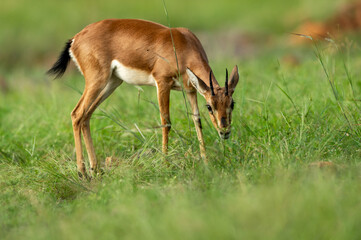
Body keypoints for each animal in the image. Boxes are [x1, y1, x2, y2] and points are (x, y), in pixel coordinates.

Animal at [47, 18, 239, 178]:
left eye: (232, 104)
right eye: (210, 106)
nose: (225, 131)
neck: (183, 44)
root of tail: (75, 39)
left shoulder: (191, 91)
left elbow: (196, 121)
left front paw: (206, 162)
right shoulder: (162, 83)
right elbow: (166, 122)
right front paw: (165, 164)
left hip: (112, 83)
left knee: (86, 116)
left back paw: (96, 169)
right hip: (97, 81)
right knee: (77, 114)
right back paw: (82, 172)